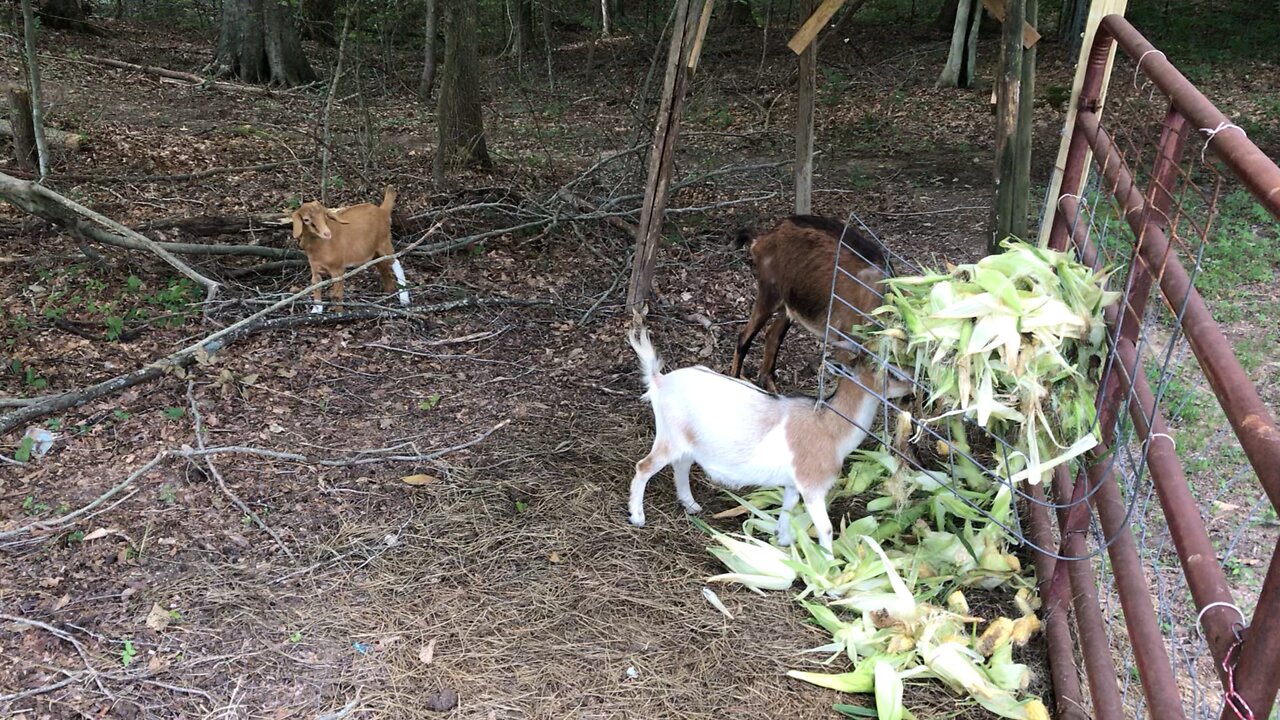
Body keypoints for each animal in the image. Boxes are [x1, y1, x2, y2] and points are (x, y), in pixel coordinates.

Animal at [627, 325, 911, 548]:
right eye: (888, 370)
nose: (912, 386)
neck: (829, 428)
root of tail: (659, 380)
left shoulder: (793, 484)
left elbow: (787, 509)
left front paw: (783, 541)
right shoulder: (812, 486)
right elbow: (826, 529)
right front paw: (828, 575)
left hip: (688, 442)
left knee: (681, 465)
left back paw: (691, 505)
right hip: (669, 437)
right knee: (643, 467)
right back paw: (638, 517)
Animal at [732, 213, 890, 392]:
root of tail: (762, 239)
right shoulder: (846, 339)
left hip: (789, 303)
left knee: (772, 335)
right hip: (770, 291)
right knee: (744, 337)